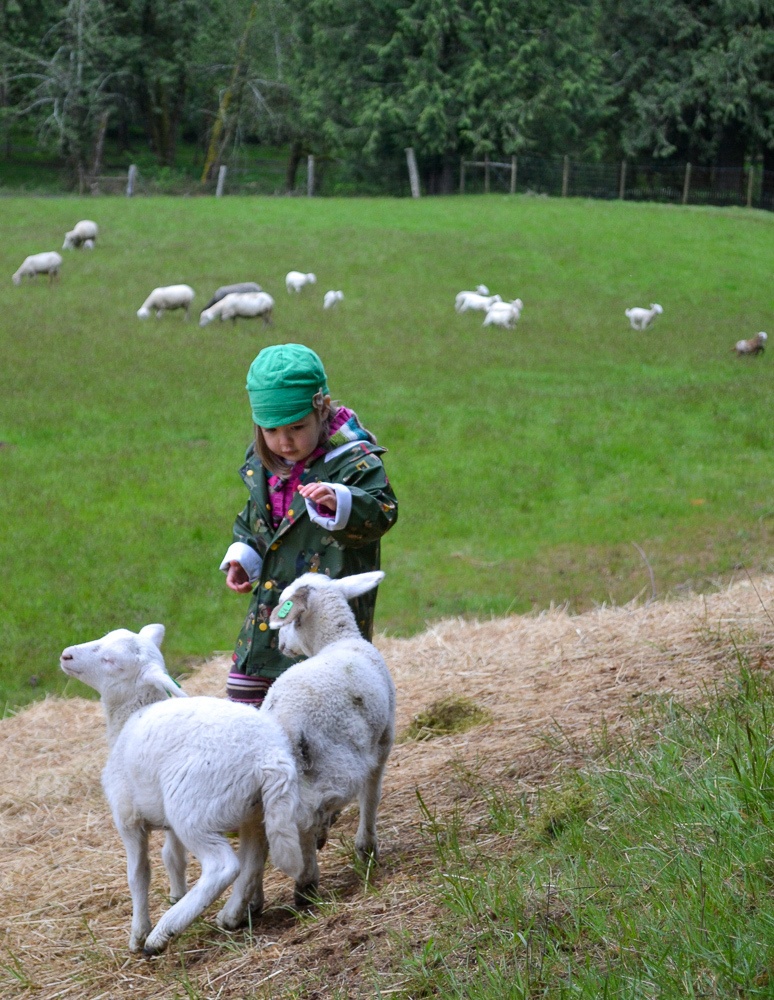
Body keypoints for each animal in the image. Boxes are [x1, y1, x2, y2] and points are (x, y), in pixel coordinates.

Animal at [58, 620, 304, 956]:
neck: (129, 717)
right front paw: (176, 893)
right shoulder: (167, 821)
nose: (66, 655)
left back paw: (164, 932)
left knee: (223, 866)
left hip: (193, 808)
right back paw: (231, 914)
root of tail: (270, 756)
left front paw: (138, 933)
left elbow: (138, 875)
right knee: (254, 858)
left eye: (111, 661)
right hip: (251, 810)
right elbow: (172, 857)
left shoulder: (128, 817)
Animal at [266, 572, 400, 908]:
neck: (338, 641)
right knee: (306, 815)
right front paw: (366, 848)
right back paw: (306, 883)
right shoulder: (382, 742)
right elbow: (371, 797)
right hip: (334, 758)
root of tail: (286, 719)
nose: (280, 645)